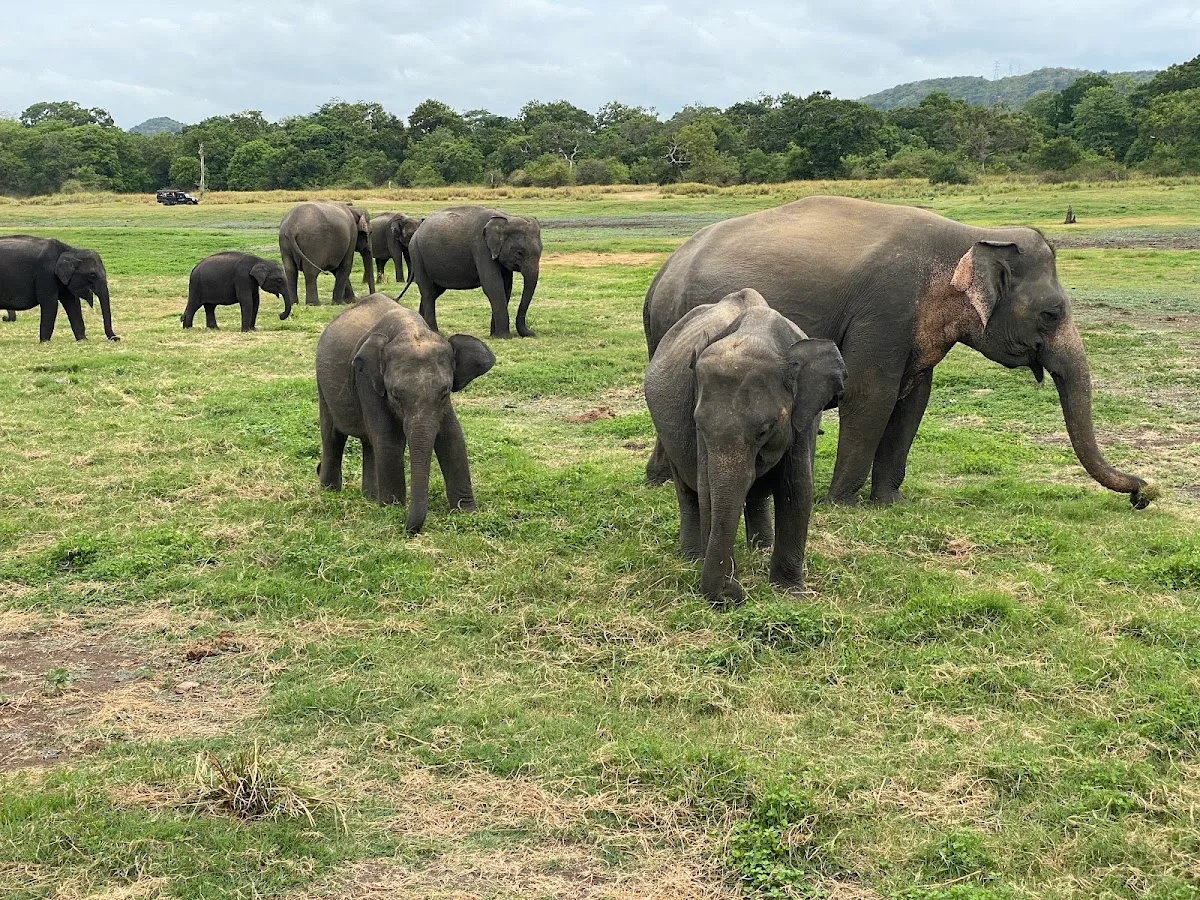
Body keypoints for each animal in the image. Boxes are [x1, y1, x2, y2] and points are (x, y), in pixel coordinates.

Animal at [315, 293, 496, 534]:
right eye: (395, 395)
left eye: (445, 392)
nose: (409, 529)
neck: (410, 329)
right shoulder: (366, 380)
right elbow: (389, 439)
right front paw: (392, 510)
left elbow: (452, 437)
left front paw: (467, 513)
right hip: (323, 386)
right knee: (333, 437)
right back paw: (330, 492)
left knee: (369, 442)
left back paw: (370, 498)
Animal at [403, 206, 541, 338]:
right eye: (519, 253)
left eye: (541, 251)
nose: (532, 333)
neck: (507, 218)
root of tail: (417, 231)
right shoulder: (481, 247)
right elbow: (493, 286)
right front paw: (504, 337)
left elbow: (506, 287)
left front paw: (495, 335)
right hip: (417, 254)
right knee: (428, 292)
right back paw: (434, 331)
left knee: (434, 292)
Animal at [643, 196, 1153, 509]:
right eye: (1051, 313)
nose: (1143, 494)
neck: (971, 235)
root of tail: (664, 271)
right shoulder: (886, 308)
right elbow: (872, 395)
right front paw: (842, 503)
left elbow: (913, 401)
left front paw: (888, 502)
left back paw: (659, 481)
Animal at [645, 289, 846, 606]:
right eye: (699, 425)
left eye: (764, 431)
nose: (733, 594)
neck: (755, 333)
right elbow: (707, 489)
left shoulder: (804, 415)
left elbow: (797, 487)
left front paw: (791, 593)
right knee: (687, 492)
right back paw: (693, 558)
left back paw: (761, 549)